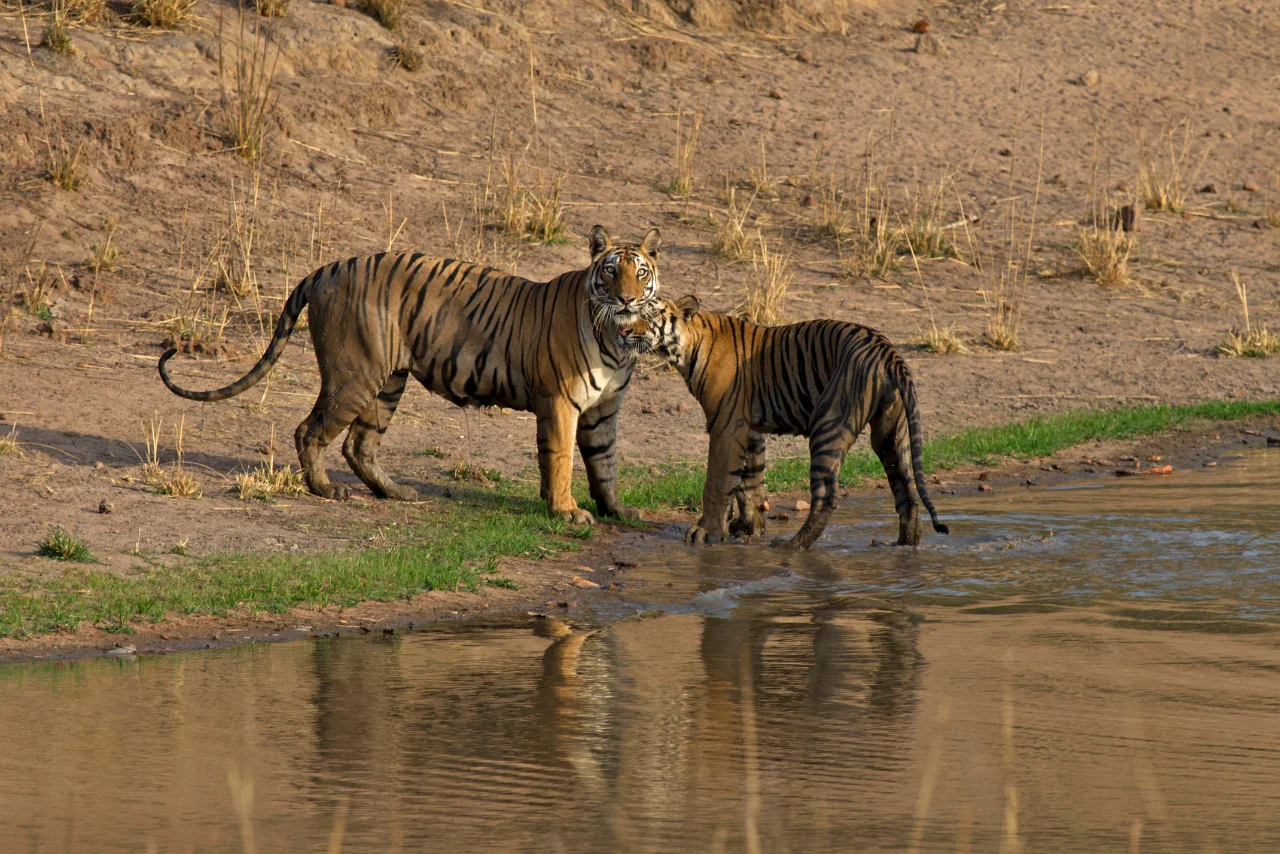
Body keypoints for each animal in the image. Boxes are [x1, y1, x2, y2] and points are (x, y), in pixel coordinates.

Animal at [158, 225, 661, 525]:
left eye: (640, 273)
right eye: (610, 272)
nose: (626, 300)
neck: (616, 341)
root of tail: (326, 268)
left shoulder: (603, 410)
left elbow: (604, 462)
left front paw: (619, 510)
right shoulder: (559, 401)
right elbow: (561, 460)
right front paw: (566, 510)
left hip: (387, 383)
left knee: (358, 444)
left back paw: (396, 492)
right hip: (354, 376)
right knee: (310, 431)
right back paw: (325, 490)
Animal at [616, 295, 949, 549]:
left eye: (647, 314)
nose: (621, 333)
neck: (686, 346)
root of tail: (887, 351)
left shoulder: (726, 425)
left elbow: (718, 482)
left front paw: (705, 532)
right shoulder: (750, 430)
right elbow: (749, 483)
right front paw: (748, 528)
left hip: (829, 424)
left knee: (827, 496)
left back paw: (792, 545)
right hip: (891, 431)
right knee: (906, 489)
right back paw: (901, 545)